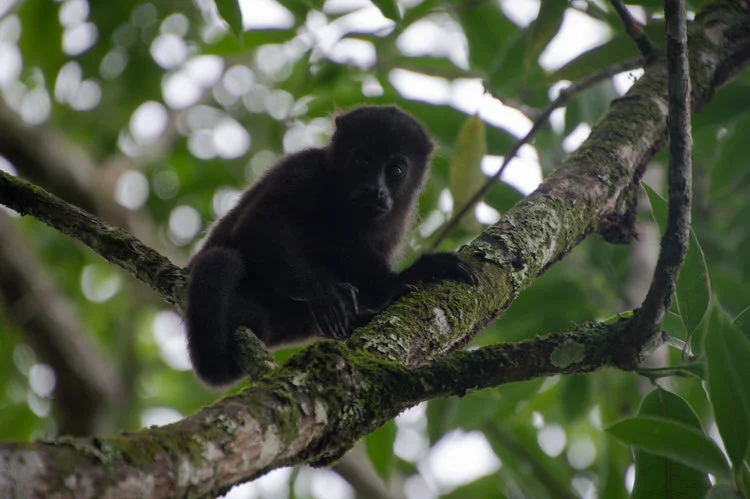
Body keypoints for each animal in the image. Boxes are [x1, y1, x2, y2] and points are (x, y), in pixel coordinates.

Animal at [185, 106, 479, 386]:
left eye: (396, 170)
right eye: (362, 160)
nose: (375, 189)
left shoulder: (398, 219)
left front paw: (416, 275)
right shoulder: (302, 169)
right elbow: (259, 226)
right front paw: (323, 292)